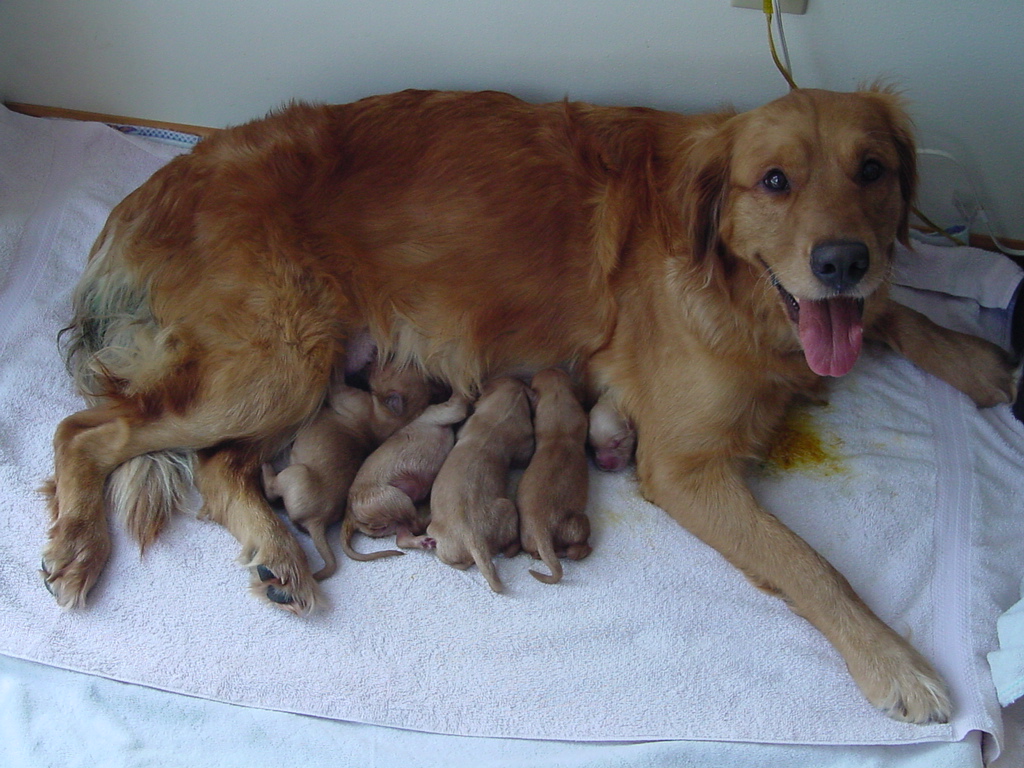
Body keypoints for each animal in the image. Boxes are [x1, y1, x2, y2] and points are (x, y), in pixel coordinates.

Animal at [262, 364, 434, 581]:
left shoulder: (345, 395)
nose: (373, 362)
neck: (391, 416)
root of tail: (317, 522)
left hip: (295, 472)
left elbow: (336, 382)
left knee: (271, 489)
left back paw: (266, 467)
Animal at [344, 393, 471, 561]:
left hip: (392, 521)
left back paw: (423, 542)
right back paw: (429, 517)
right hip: (396, 498)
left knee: (402, 538)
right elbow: (458, 401)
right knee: (416, 525)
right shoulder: (445, 411)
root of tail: (350, 515)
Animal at [520, 370, 593, 581]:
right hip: (579, 523)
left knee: (535, 553)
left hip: (527, 539)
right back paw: (585, 549)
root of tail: (541, 529)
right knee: (574, 551)